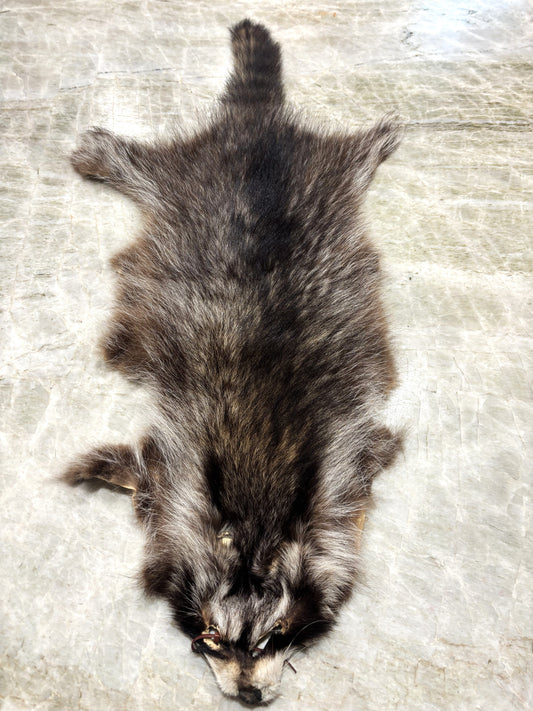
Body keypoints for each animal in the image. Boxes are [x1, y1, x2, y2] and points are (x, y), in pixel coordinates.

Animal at [64, 19, 402, 705]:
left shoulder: (342, 465)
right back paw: (109, 154)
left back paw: (376, 143)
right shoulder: (179, 466)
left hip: (314, 176)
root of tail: (256, 129)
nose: (247, 696)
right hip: (184, 181)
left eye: (277, 637)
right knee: (142, 166)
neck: (255, 514)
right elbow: (144, 469)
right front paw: (109, 470)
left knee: (352, 154)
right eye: (211, 638)